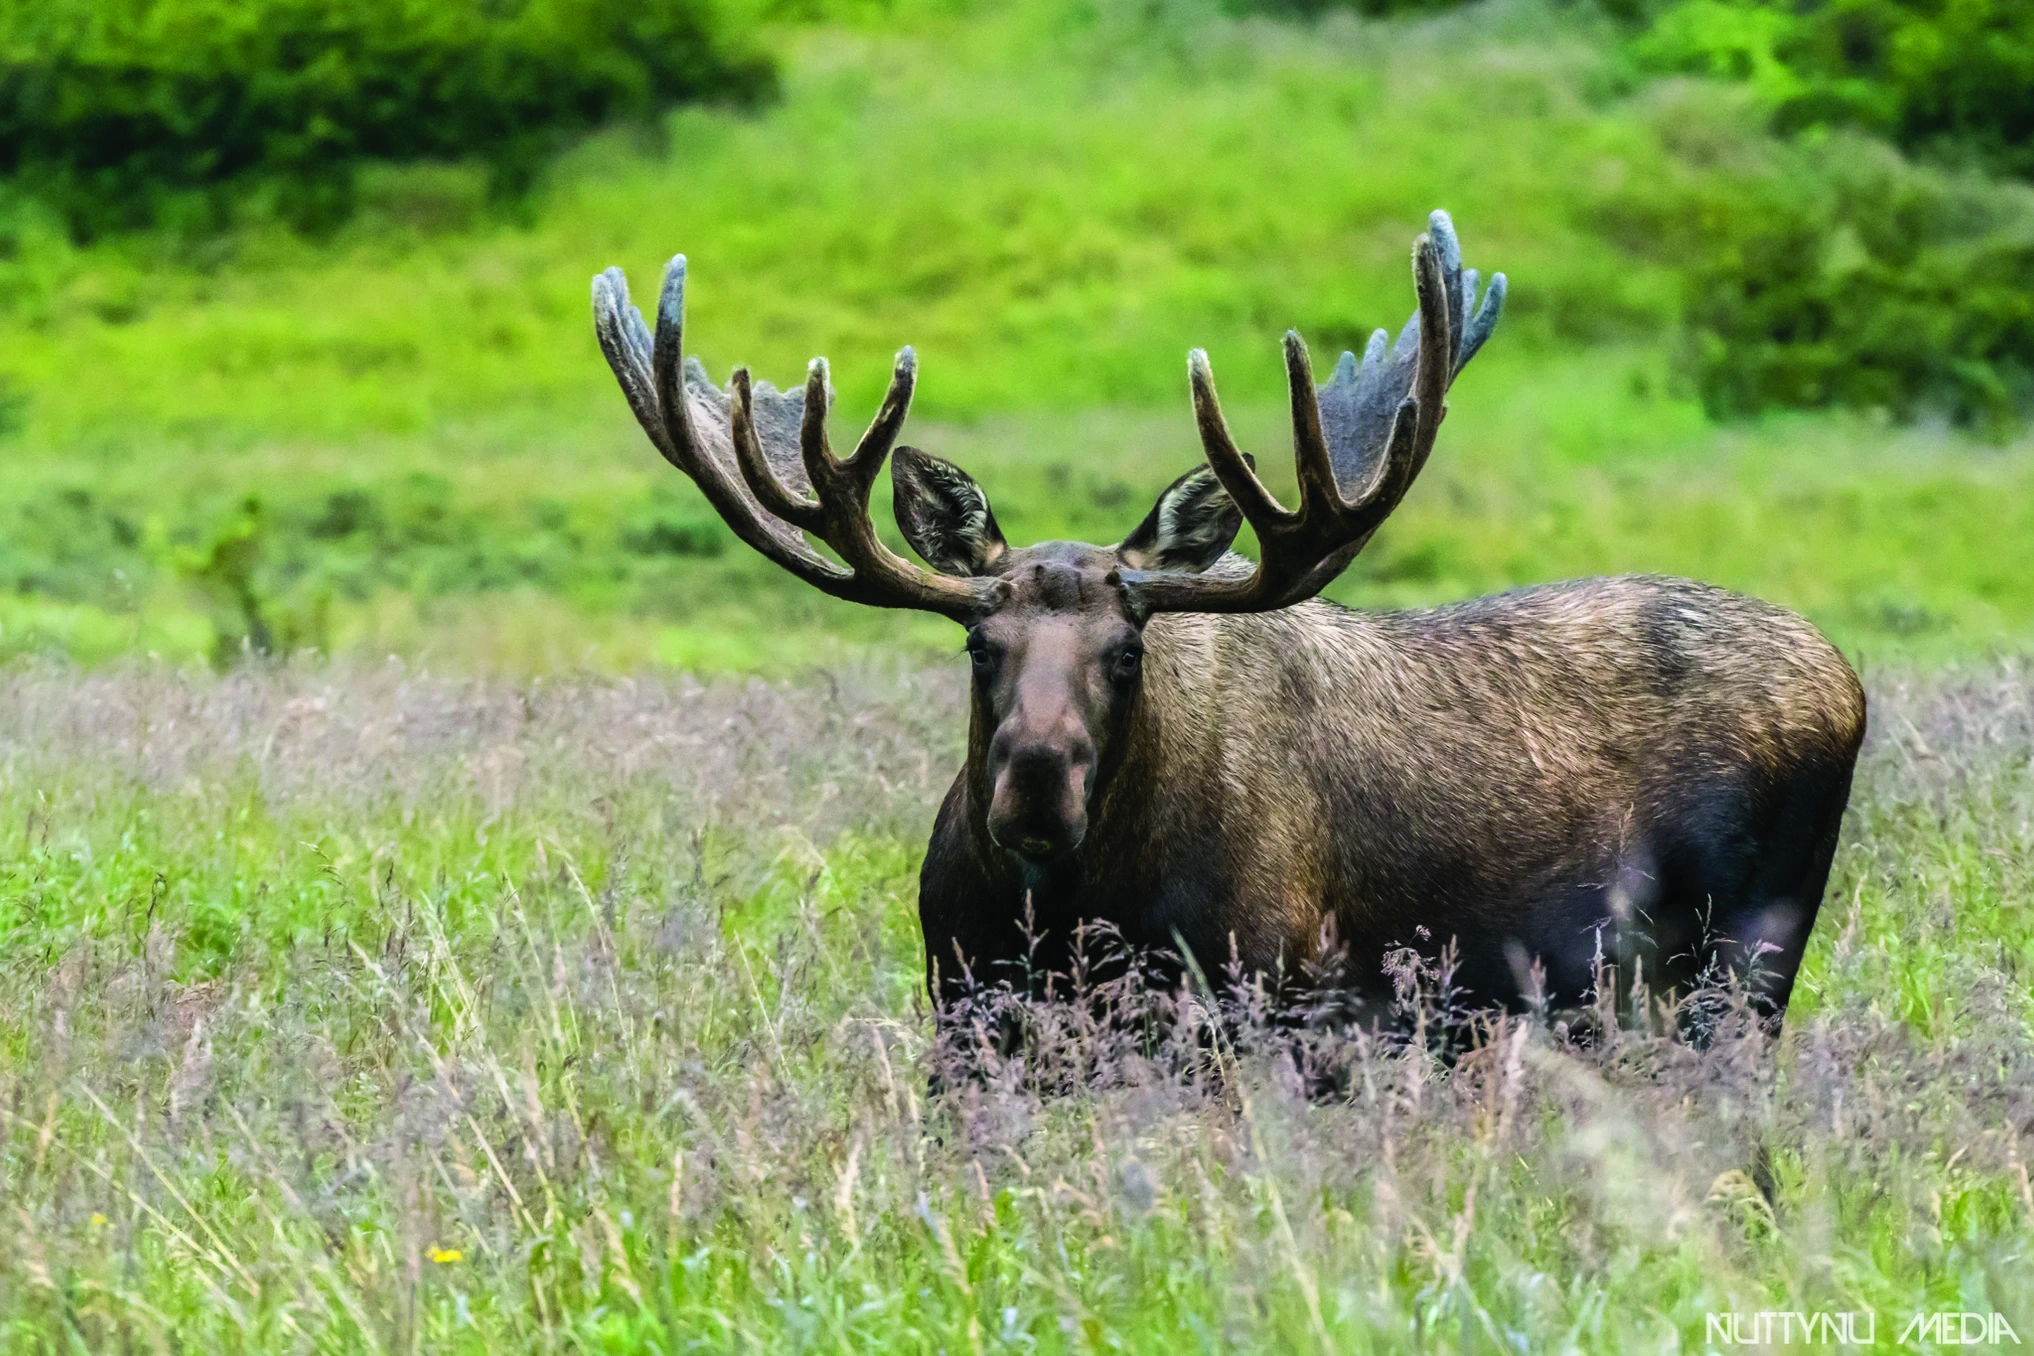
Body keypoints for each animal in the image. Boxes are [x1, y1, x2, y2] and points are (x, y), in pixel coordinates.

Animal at [589, 212, 1863, 1032]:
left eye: (1127, 652)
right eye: (978, 644)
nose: (1036, 781)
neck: (1065, 917)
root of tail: (1849, 681)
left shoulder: (1259, 1002)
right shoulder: (963, 1012)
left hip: (1746, 958)